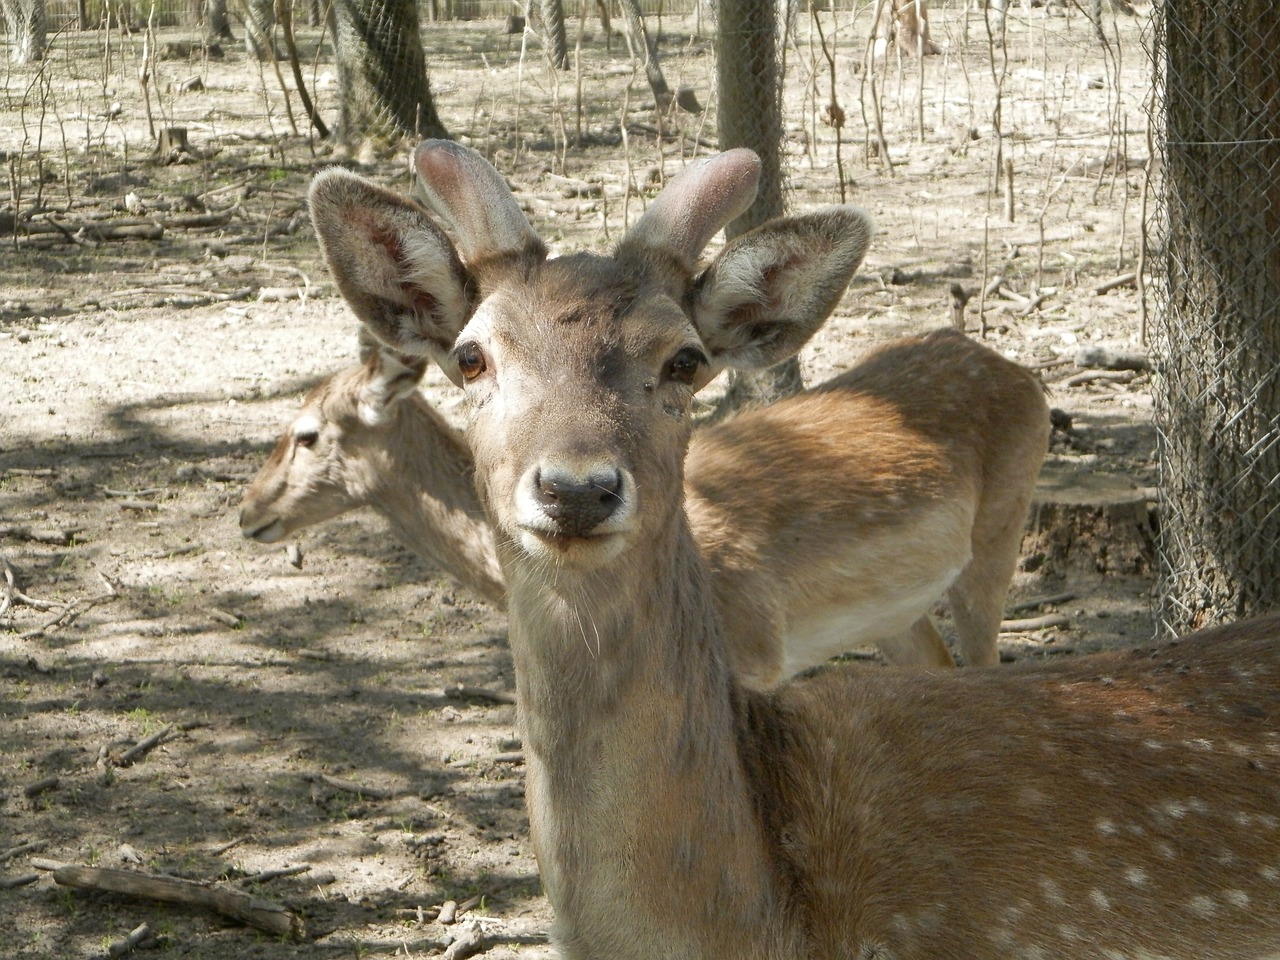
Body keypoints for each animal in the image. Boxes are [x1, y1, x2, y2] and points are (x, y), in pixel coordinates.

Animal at [240, 325, 1049, 686]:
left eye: (306, 433)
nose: (248, 511)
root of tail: (1024, 373)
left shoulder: (758, 652)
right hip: (893, 611)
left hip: (1002, 532)